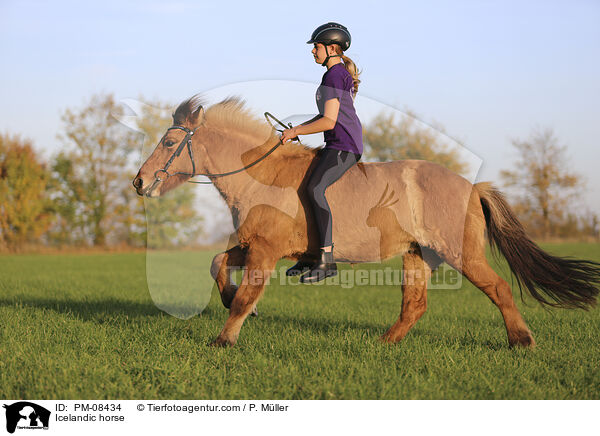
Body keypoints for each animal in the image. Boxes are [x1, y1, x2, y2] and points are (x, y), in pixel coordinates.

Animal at [132, 95, 600, 348]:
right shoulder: (251, 244)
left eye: (170, 142)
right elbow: (217, 265)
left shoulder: (264, 249)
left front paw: (225, 338)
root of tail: (472, 187)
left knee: (499, 288)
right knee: (415, 305)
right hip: (417, 256)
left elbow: (247, 295)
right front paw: (229, 302)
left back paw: (522, 341)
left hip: (460, 254)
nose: (139, 182)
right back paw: (383, 344)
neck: (262, 174)